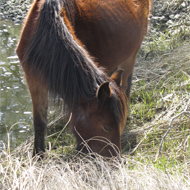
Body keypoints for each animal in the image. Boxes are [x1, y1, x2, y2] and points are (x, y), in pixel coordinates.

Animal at [15, 0, 150, 157]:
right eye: (106, 127)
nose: (116, 159)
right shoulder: (34, 79)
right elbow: (39, 123)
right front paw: (38, 155)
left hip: (130, 56)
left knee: (126, 86)